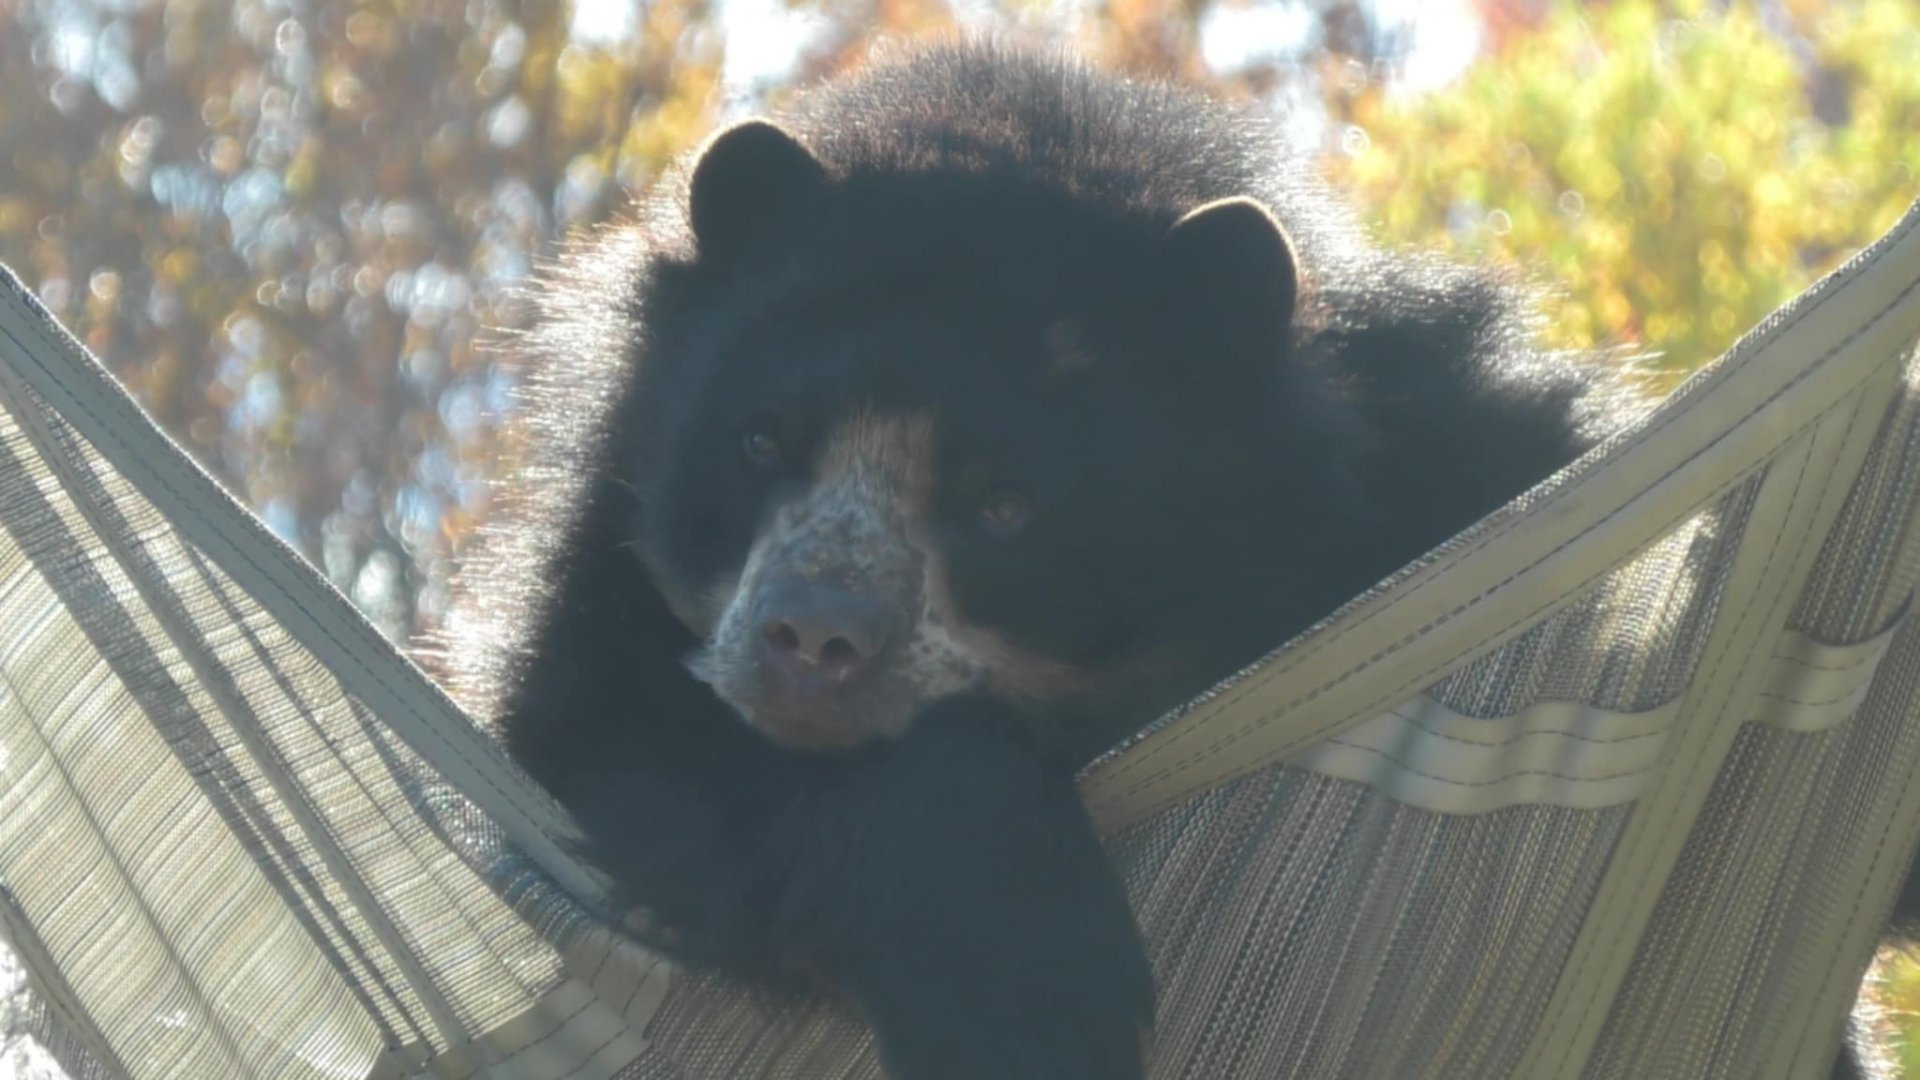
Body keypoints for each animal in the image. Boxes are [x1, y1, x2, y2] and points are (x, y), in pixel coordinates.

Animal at [445, 40, 1633, 1080]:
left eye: (1006, 504)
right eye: (761, 441)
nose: (809, 638)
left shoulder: (1467, 447)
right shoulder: (594, 595)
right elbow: (601, 727)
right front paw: (1021, 998)